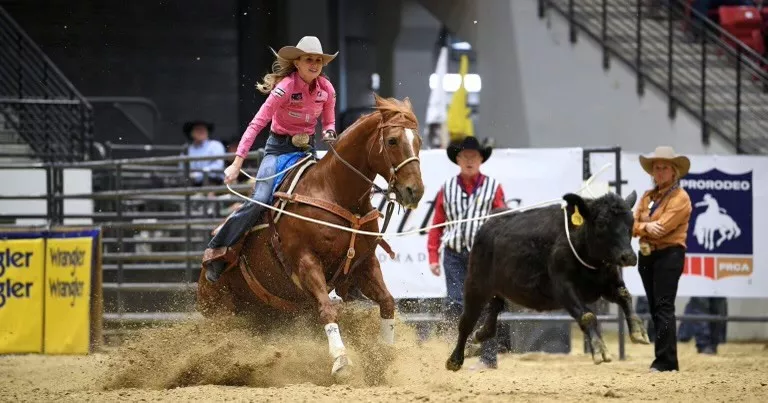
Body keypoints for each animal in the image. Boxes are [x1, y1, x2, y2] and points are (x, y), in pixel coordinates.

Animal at [196, 93, 425, 380]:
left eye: (419, 141)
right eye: (392, 140)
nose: (414, 191)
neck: (334, 191)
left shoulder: (364, 263)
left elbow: (387, 301)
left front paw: (384, 358)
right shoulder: (305, 261)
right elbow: (327, 308)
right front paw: (341, 361)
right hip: (221, 311)